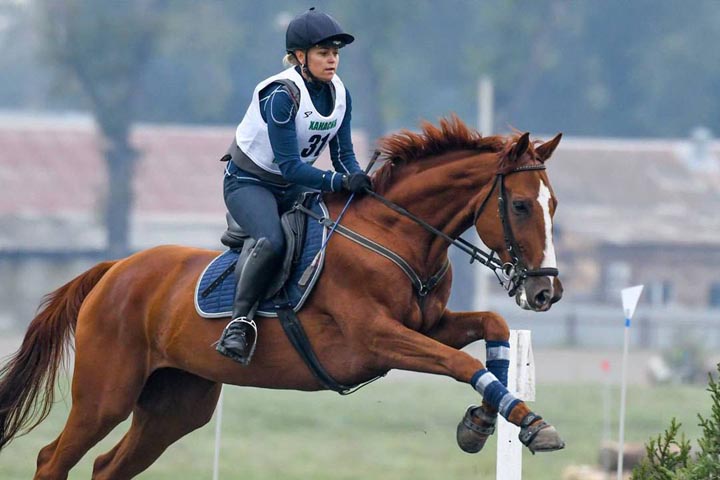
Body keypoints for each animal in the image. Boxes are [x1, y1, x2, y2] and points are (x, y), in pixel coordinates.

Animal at [0, 117, 564, 480]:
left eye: (553, 204)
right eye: (519, 205)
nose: (546, 291)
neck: (397, 235)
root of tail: (113, 269)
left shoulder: (428, 324)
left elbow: (490, 327)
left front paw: (482, 422)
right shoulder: (377, 339)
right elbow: (457, 362)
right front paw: (530, 423)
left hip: (175, 406)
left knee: (106, 467)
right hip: (105, 396)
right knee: (52, 459)